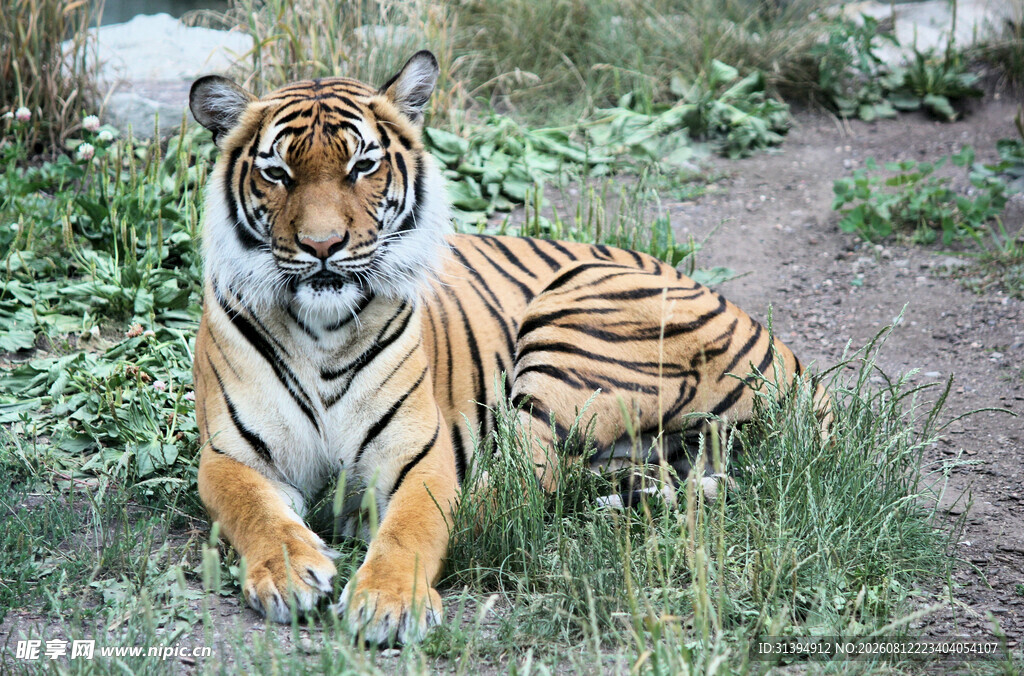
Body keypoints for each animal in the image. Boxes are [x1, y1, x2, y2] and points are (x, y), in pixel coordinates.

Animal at [188, 50, 827, 645]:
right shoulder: (231, 454)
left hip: (573, 326)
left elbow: (414, 526)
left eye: (362, 165)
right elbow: (256, 511)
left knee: (513, 495)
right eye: (277, 173)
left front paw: (389, 602)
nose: (323, 246)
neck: (322, 327)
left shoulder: (419, 454)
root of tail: (797, 364)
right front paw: (288, 573)